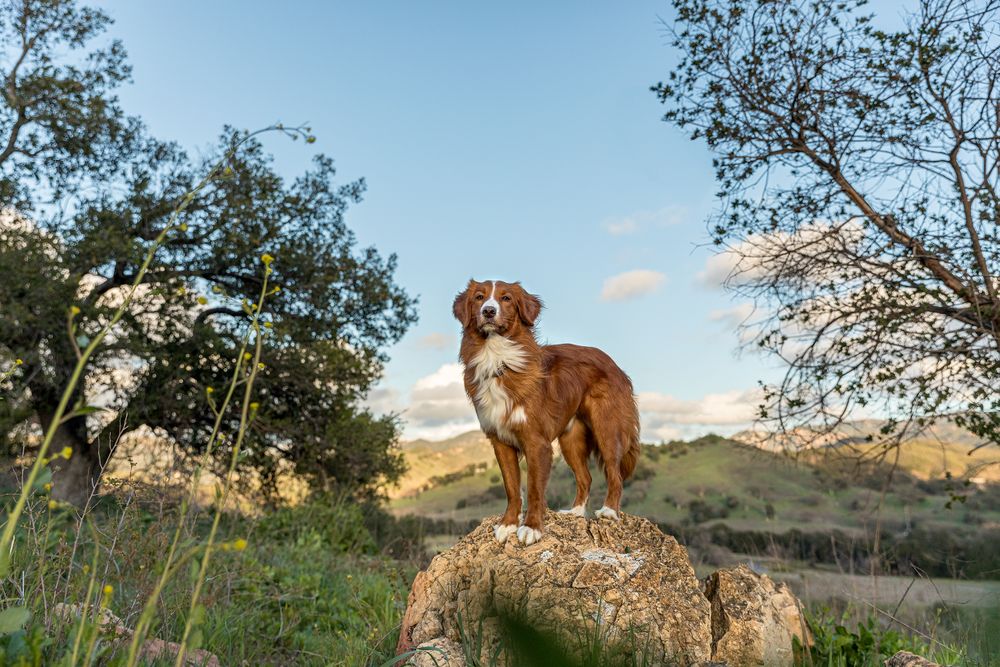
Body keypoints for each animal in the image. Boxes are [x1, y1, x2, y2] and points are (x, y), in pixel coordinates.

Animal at [454, 280, 640, 544]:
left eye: (506, 298)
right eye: (479, 297)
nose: (488, 311)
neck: (499, 358)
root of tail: (614, 363)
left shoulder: (536, 441)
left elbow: (533, 488)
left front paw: (531, 527)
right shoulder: (499, 440)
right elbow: (512, 487)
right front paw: (509, 523)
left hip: (607, 427)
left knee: (615, 473)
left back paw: (609, 511)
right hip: (571, 438)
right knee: (586, 477)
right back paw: (575, 512)